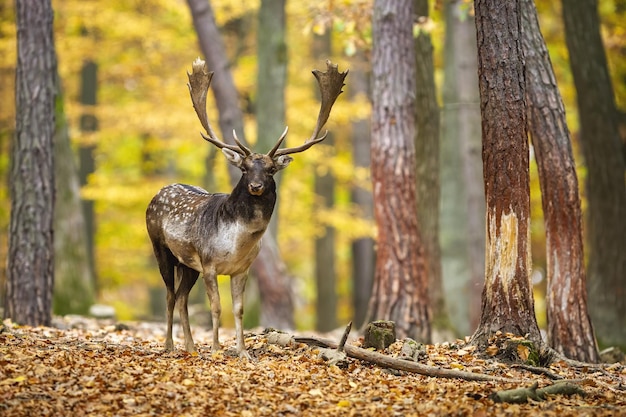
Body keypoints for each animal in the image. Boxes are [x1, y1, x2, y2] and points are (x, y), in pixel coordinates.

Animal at [145, 57, 346, 358]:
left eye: (271, 169)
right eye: (245, 168)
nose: (255, 186)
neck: (237, 242)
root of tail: (157, 193)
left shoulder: (242, 269)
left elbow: (238, 310)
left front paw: (242, 351)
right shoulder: (209, 263)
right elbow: (217, 307)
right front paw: (216, 349)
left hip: (189, 265)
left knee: (181, 298)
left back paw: (191, 348)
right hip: (161, 248)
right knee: (170, 295)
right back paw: (169, 346)